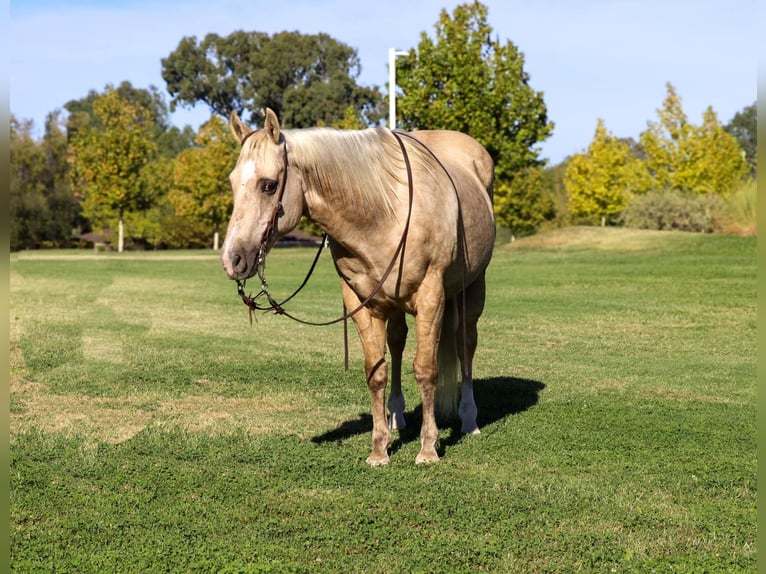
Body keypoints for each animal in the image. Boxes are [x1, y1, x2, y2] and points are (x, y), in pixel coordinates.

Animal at [221, 108, 495, 465]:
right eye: (231, 182)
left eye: (268, 185)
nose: (232, 259)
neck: (384, 212)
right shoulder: (362, 302)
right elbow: (376, 372)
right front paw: (379, 449)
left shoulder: (431, 296)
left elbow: (426, 369)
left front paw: (428, 448)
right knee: (397, 342)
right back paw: (396, 417)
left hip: (472, 289)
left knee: (465, 344)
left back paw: (469, 419)